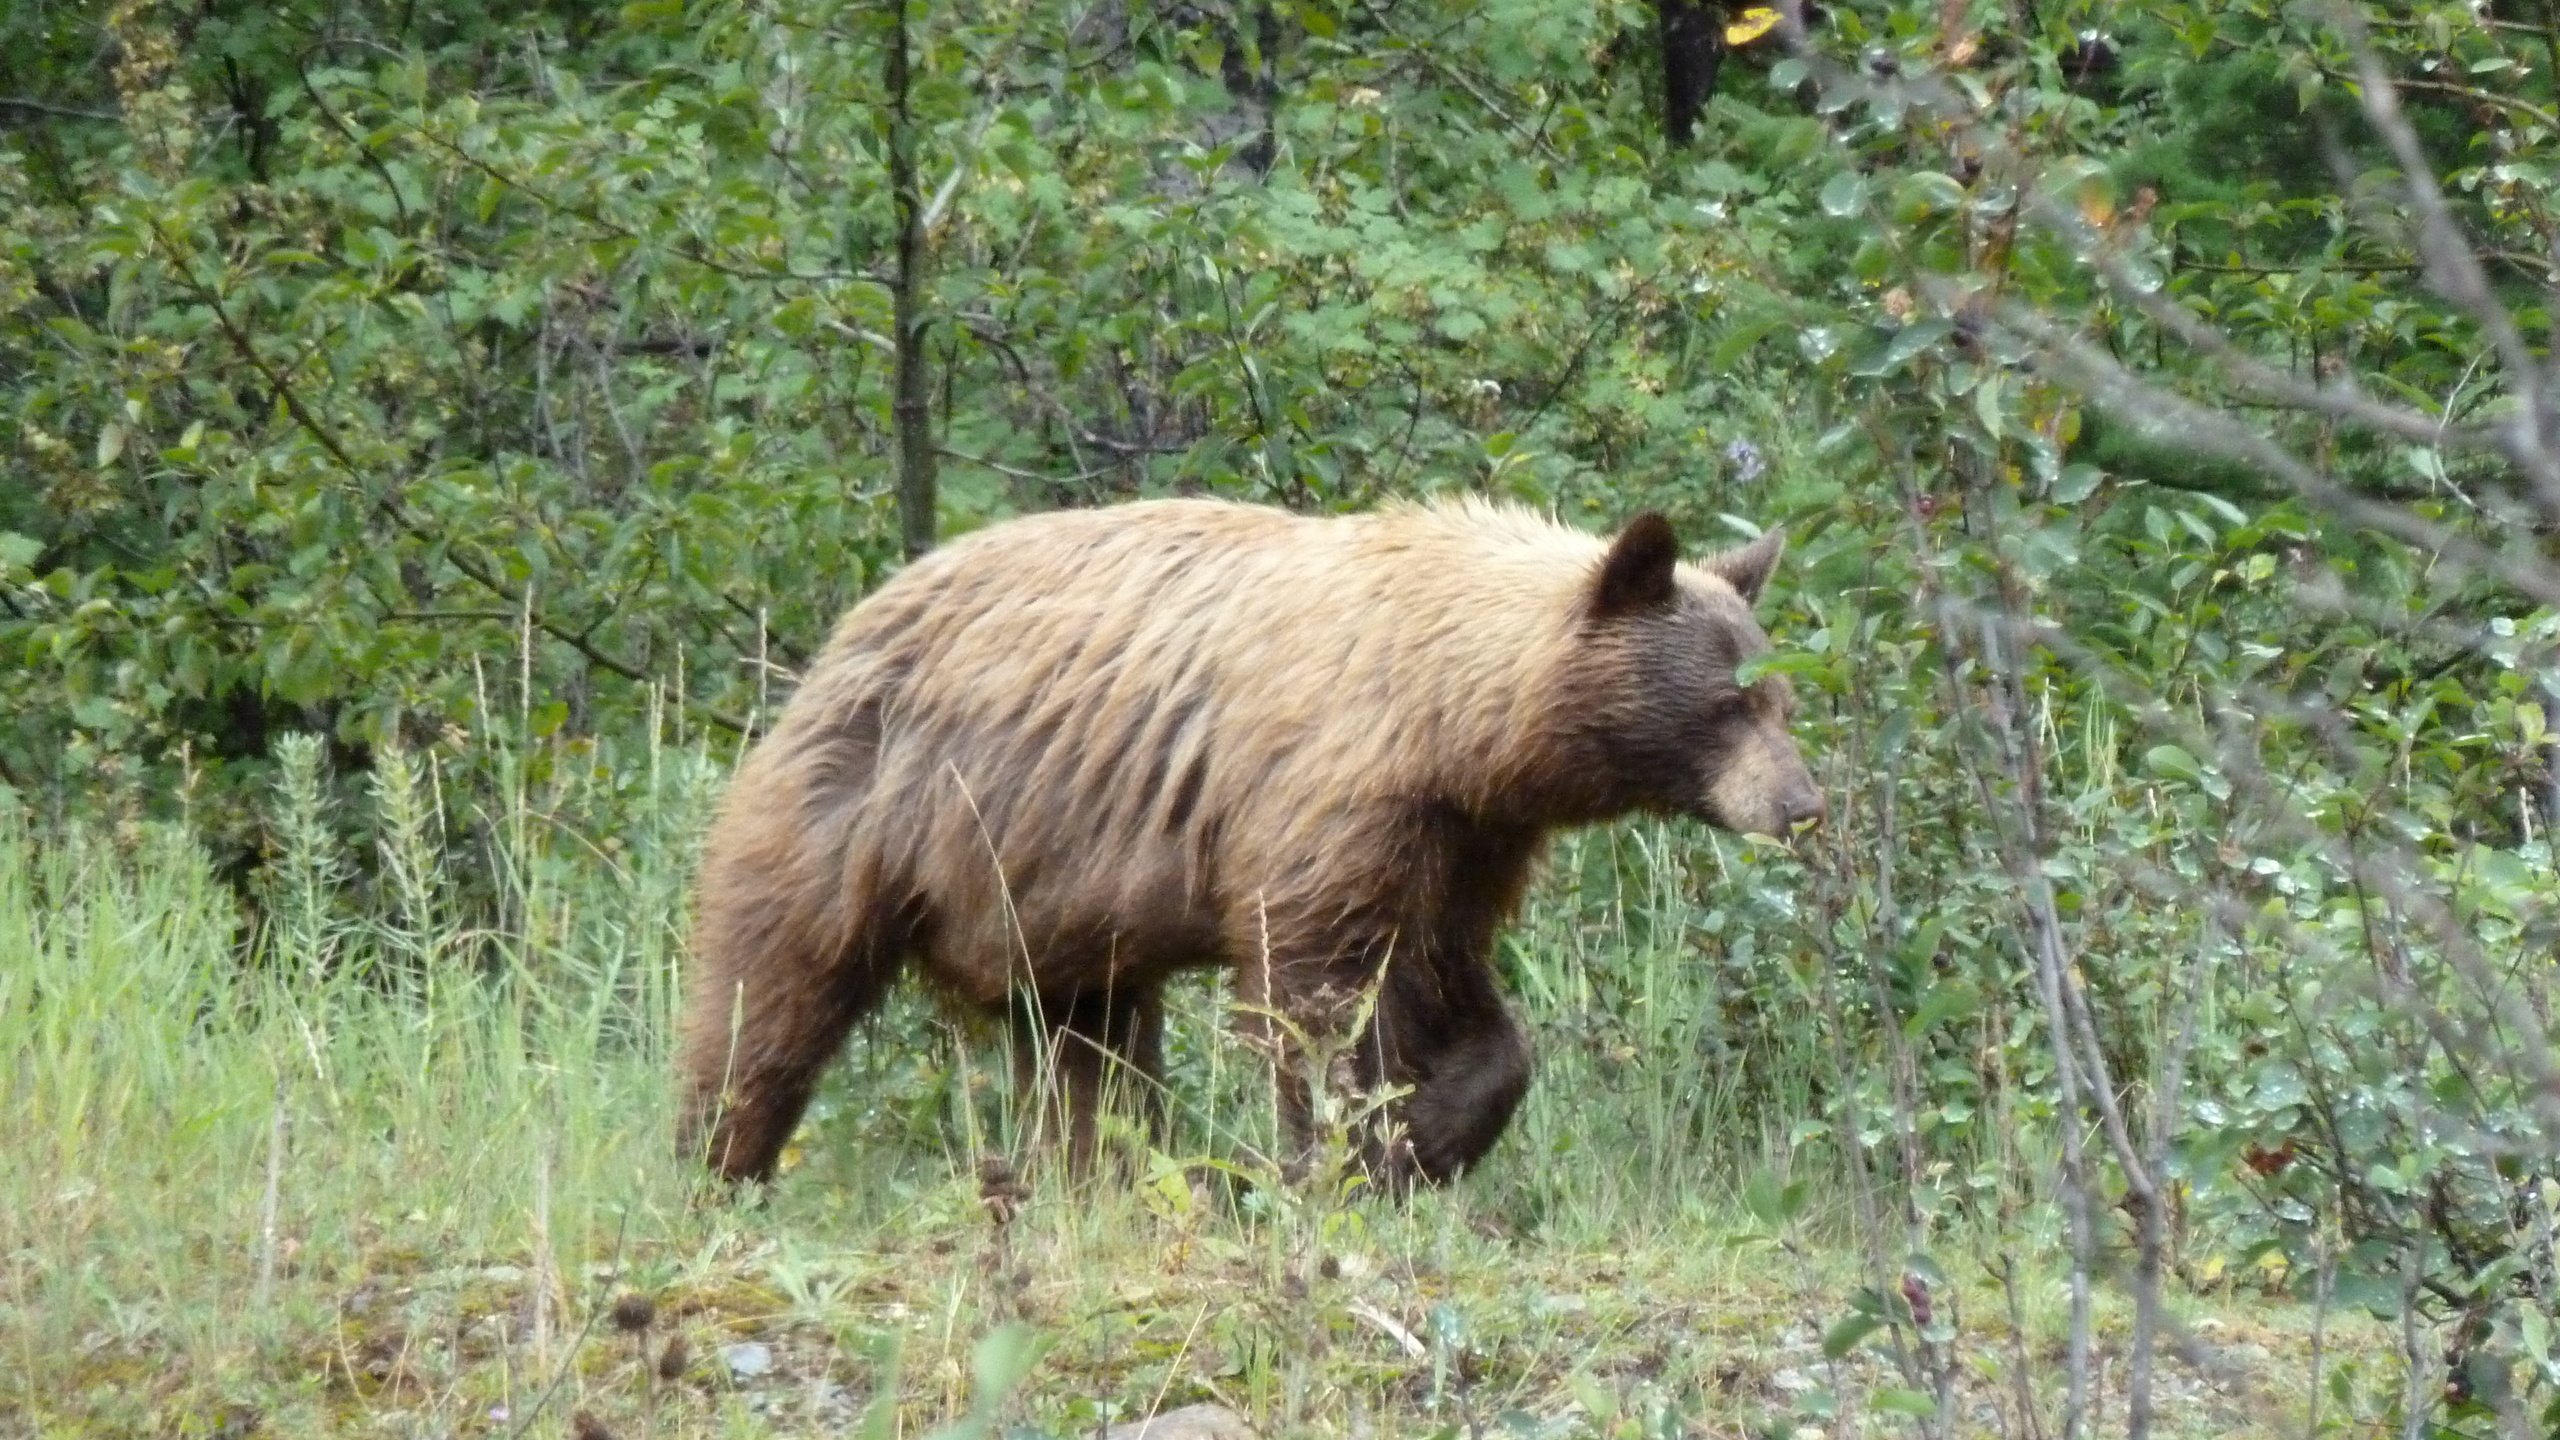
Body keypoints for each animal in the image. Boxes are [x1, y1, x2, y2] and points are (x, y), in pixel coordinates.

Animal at [680, 499, 1822, 1183]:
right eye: (1728, 705)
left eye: (1782, 698)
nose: (1804, 804)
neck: (1449, 716)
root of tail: (851, 622)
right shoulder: (1330, 799)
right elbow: (1315, 996)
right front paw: (1344, 1156)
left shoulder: (1464, 839)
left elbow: (1450, 983)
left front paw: (1433, 1134)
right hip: (866, 812)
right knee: (768, 998)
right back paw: (719, 1163)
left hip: (1048, 896)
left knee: (1084, 1047)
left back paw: (1102, 1175)